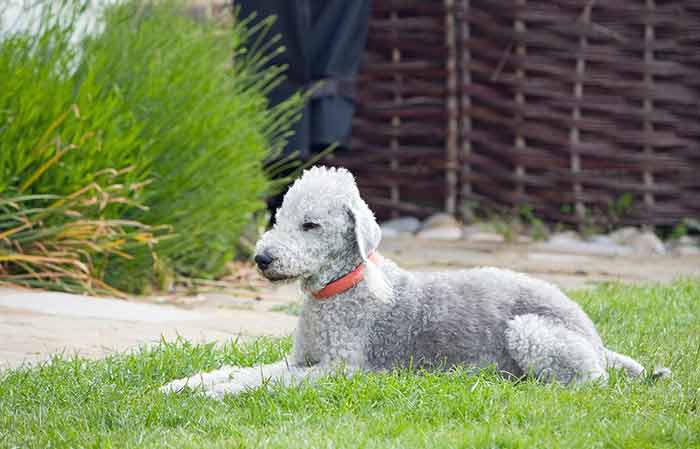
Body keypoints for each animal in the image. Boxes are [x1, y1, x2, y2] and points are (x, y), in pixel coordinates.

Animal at [160, 166, 668, 398]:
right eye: (279, 217)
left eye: (311, 225)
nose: (262, 259)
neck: (339, 290)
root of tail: (595, 337)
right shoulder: (300, 360)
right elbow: (245, 370)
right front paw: (181, 385)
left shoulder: (339, 370)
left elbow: (260, 381)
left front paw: (213, 394)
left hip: (531, 331)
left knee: (589, 381)